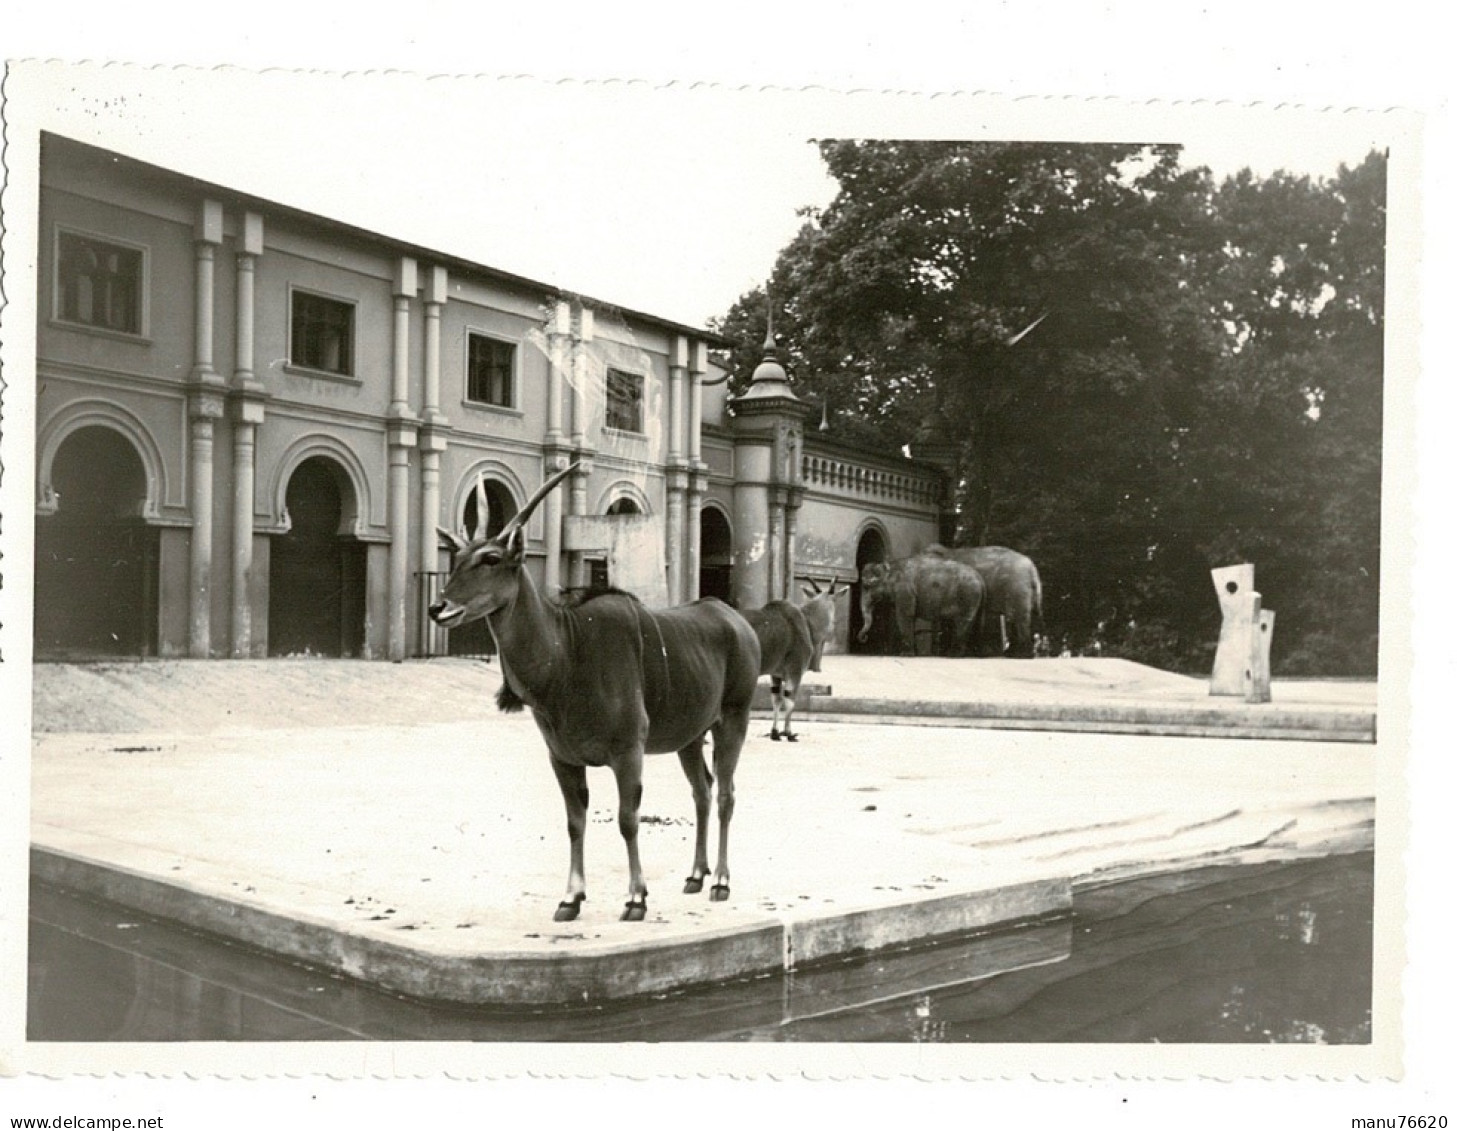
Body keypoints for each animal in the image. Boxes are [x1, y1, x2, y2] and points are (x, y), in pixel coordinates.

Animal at [856, 550, 984, 652]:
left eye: (867, 585)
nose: (864, 638)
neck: (892, 567)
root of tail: (980, 578)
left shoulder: (904, 591)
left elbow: (905, 616)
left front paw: (906, 655)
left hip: (968, 596)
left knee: (962, 623)